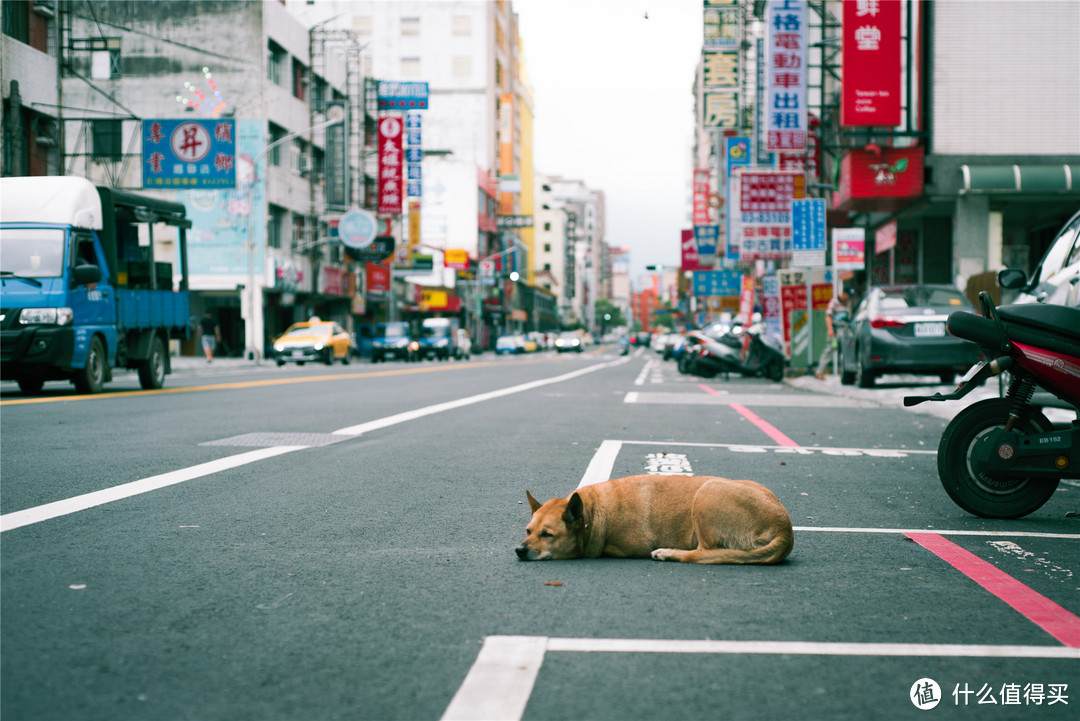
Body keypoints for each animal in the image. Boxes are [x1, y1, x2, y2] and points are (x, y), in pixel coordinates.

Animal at [514, 474, 794, 565]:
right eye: (528, 531)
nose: (519, 550)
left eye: (547, 534)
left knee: (702, 553)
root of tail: (785, 530)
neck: (592, 512)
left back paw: (668, 553)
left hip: (706, 493)